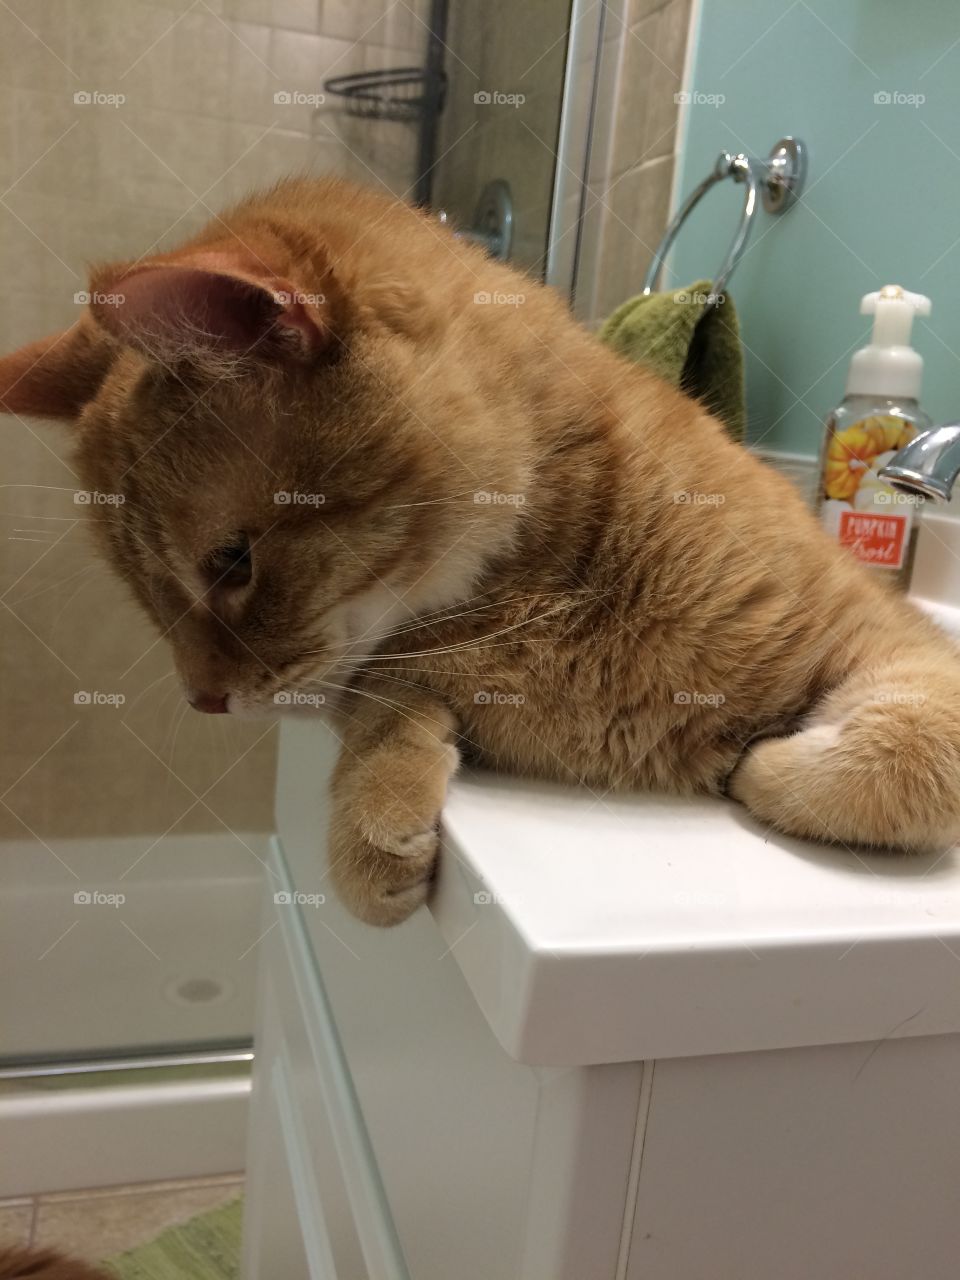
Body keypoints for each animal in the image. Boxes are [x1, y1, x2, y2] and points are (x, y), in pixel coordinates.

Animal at [1, 175, 960, 926]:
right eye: (147, 593)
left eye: (231, 563)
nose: (203, 700)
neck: (540, 582)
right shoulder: (385, 672)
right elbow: (381, 707)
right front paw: (372, 822)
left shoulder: (893, 641)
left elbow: (902, 757)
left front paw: (766, 765)